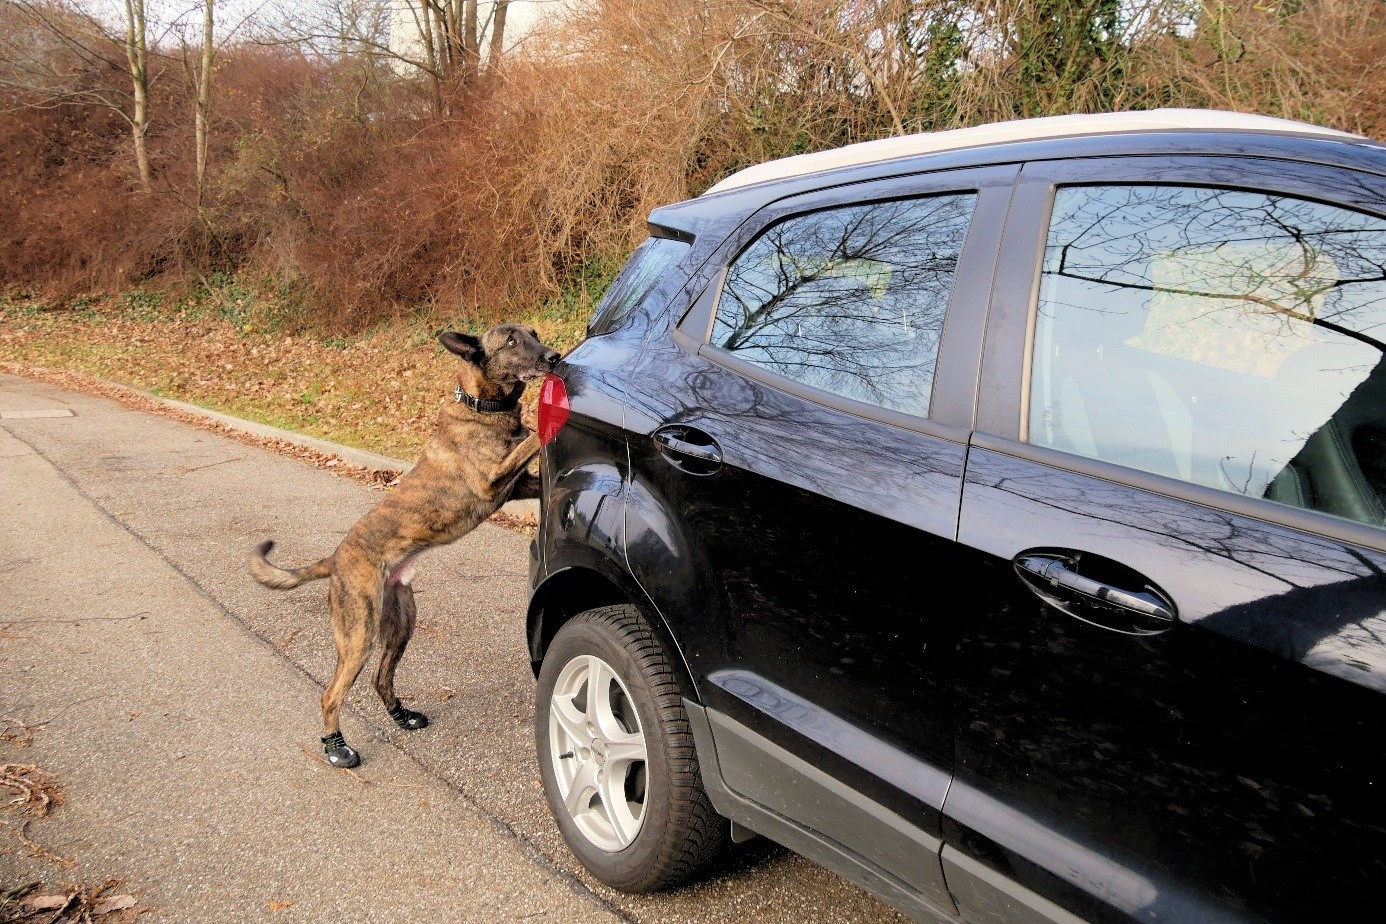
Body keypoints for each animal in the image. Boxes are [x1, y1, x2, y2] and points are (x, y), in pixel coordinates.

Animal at [249, 321, 557, 770]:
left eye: (533, 333)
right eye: (512, 341)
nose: (554, 357)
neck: (482, 407)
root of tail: (336, 558)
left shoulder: (517, 486)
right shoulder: (493, 480)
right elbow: (532, 435)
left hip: (401, 621)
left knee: (381, 678)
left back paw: (401, 715)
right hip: (358, 632)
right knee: (331, 693)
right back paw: (336, 746)